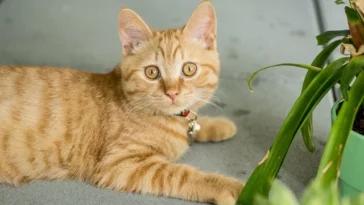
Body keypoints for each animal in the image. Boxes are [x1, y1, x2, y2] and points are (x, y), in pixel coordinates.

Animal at [0, 0, 245, 204]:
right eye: (152, 72)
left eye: (189, 69)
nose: (172, 93)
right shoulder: (121, 163)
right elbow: (181, 175)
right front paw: (236, 188)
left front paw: (220, 125)